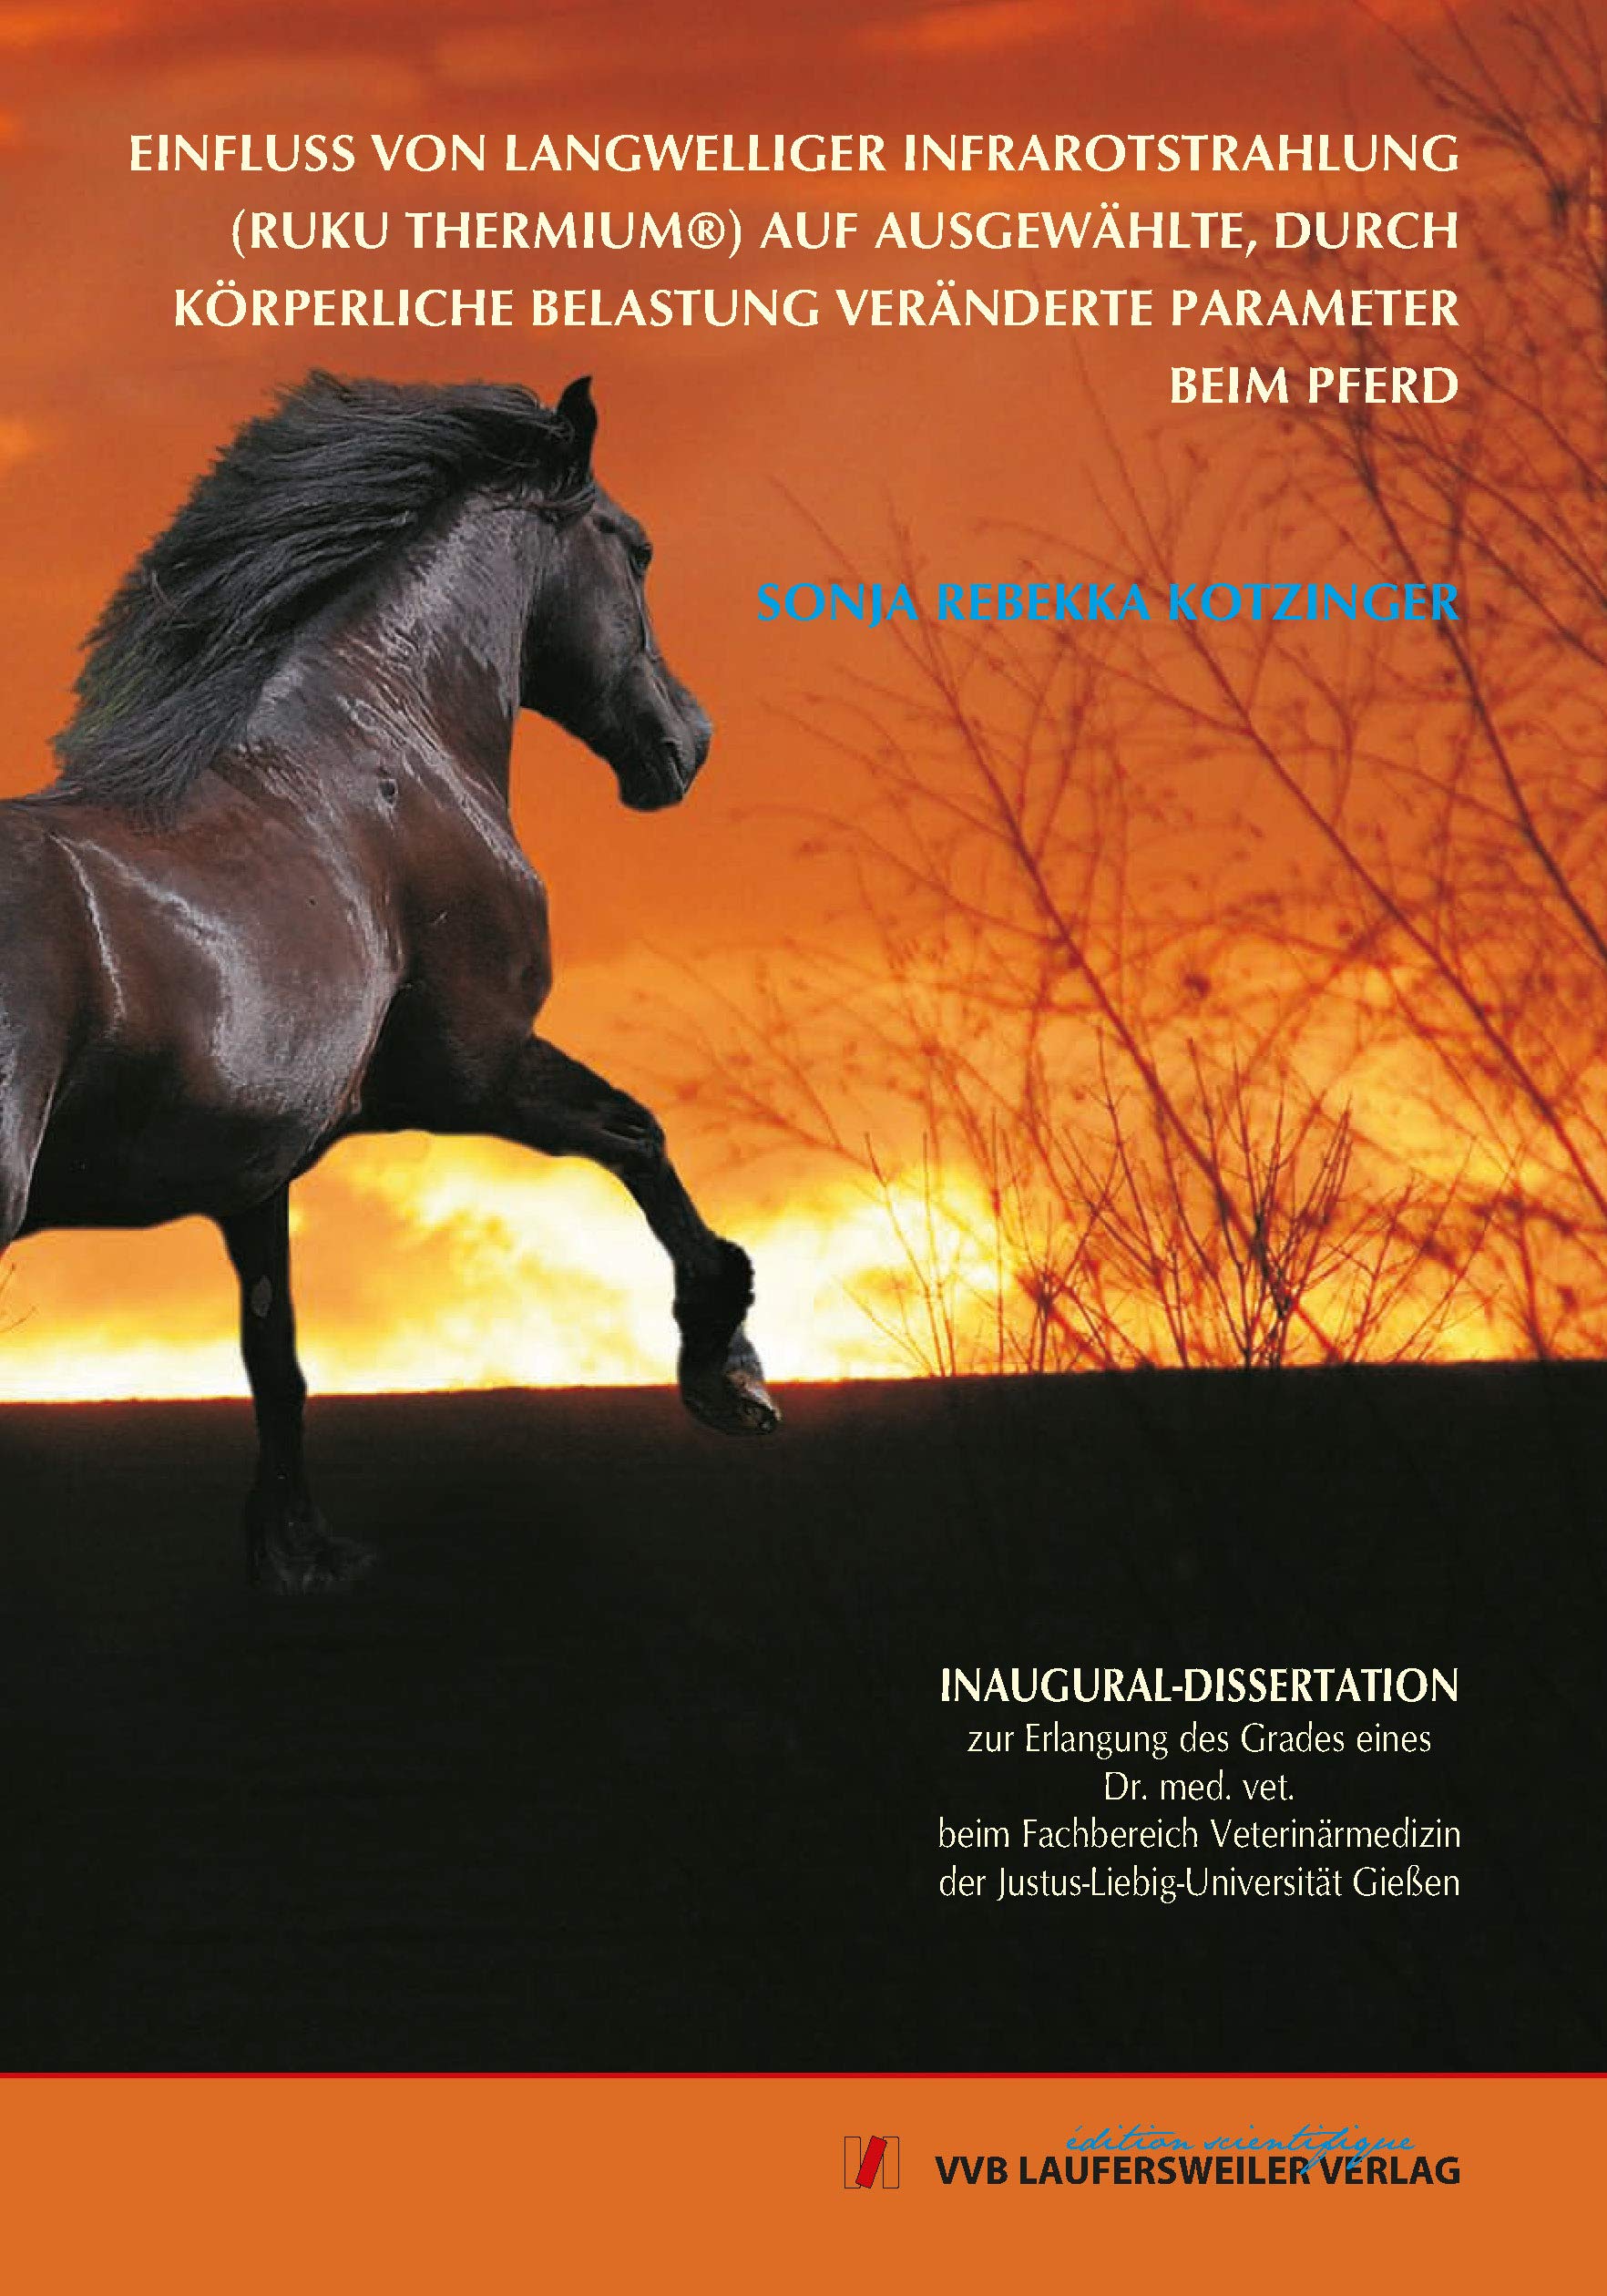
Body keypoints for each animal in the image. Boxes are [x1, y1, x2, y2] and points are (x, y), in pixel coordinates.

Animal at [0, 371, 778, 1591]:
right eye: (638, 548)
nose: (686, 744)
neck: (377, 755)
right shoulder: (473, 1075)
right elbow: (639, 1136)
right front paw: (729, 1370)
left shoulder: (254, 1174)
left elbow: (273, 1353)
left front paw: (300, 1550)